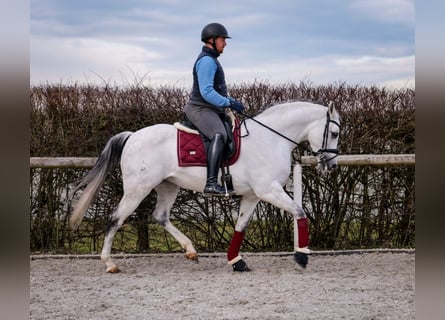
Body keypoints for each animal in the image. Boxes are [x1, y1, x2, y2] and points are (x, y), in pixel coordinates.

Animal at [70, 100, 340, 272]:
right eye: (335, 133)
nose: (331, 165)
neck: (269, 139)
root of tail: (132, 136)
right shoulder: (269, 190)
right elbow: (300, 211)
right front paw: (302, 255)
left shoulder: (253, 195)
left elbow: (240, 227)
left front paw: (236, 261)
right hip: (138, 189)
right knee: (115, 219)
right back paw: (110, 263)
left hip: (168, 187)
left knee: (160, 216)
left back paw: (190, 250)